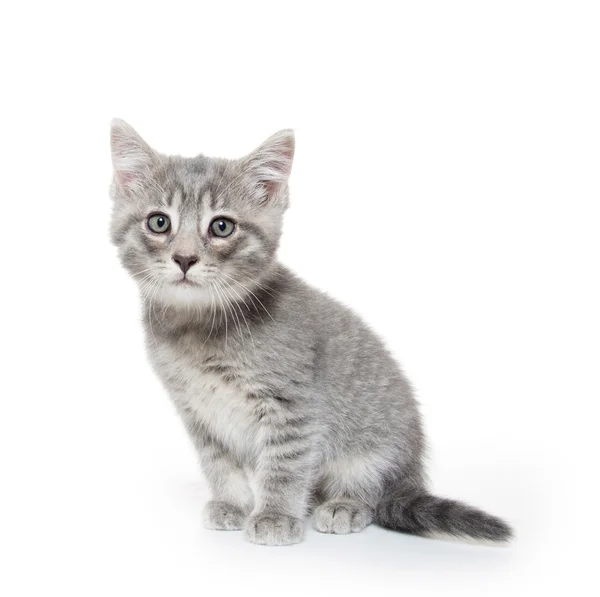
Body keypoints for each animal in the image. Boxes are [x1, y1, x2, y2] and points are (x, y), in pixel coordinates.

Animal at [109, 120, 510, 544]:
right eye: (159, 222)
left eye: (221, 226)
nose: (184, 258)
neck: (198, 327)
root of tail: (412, 472)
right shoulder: (198, 414)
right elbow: (219, 464)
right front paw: (232, 503)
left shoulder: (293, 406)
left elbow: (284, 465)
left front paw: (274, 515)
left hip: (374, 445)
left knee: (373, 490)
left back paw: (345, 505)